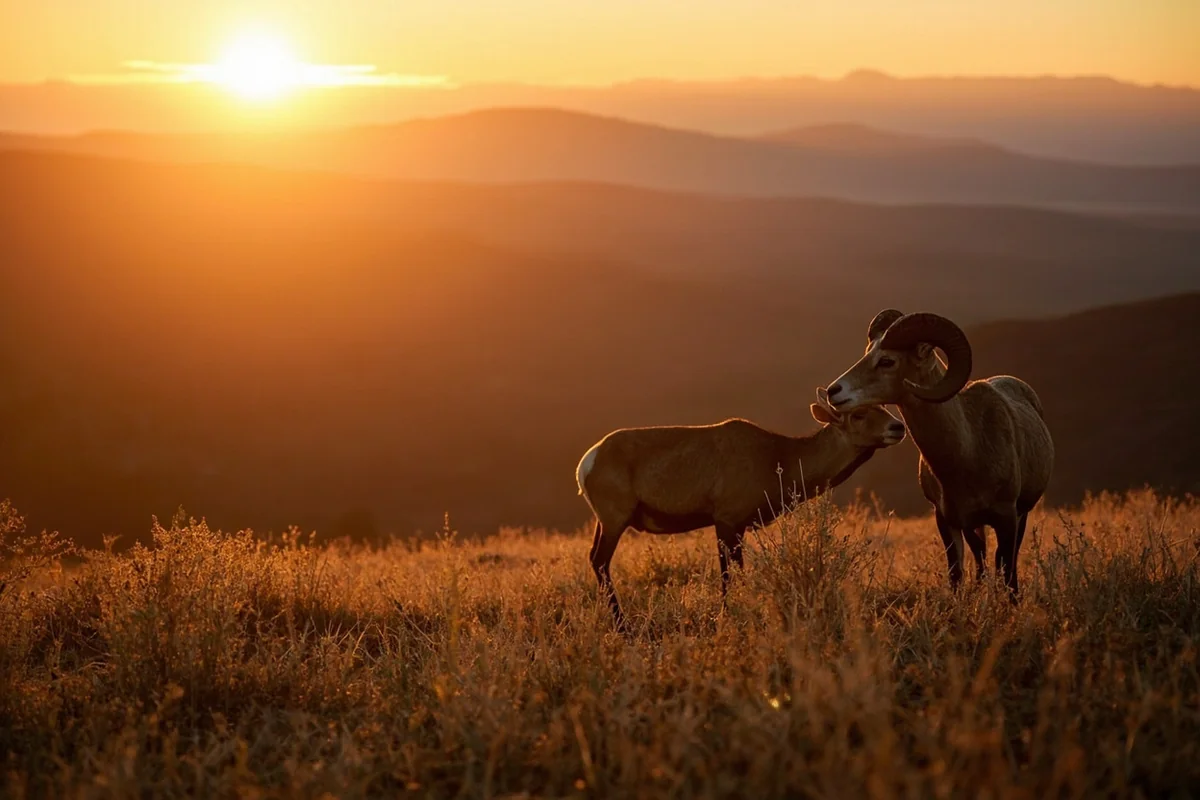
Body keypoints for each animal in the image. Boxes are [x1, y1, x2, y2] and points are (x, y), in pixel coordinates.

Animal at [576, 390, 907, 627]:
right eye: (859, 414)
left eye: (884, 407)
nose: (898, 426)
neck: (780, 465)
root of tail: (585, 465)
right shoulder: (727, 515)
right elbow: (730, 572)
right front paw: (730, 614)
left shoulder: (739, 522)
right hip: (614, 514)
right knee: (600, 560)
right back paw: (622, 625)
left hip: (604, 519)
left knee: (594, 557)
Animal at [824, 310, 1054, 597]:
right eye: (868, 352)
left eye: (887, 360)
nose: (833, 391)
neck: (968, 454)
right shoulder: (947, 520)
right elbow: (957, 574)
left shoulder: (1008, 517)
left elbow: (1008, 570)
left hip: (1021, 515)